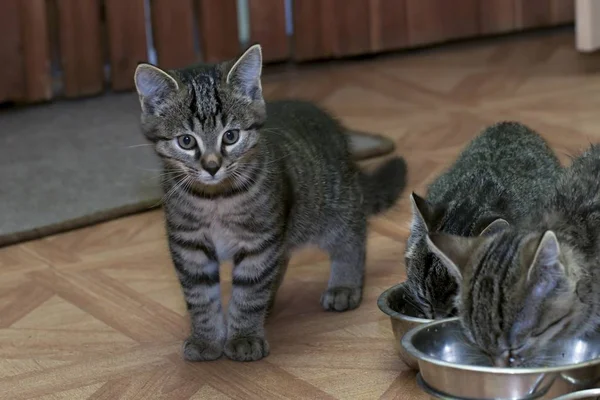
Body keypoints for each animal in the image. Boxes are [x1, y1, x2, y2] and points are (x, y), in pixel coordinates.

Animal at [135, 44, 408, 362]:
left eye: (231, 136)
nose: (213, 166)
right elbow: (200, 297)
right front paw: (206, 339)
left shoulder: (260, 241)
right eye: (186, 141)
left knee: (352, 235)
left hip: (331, 208)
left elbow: (249, 293)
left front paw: (244, 336)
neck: (216, 199)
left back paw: (344, 284)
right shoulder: (189, 245)